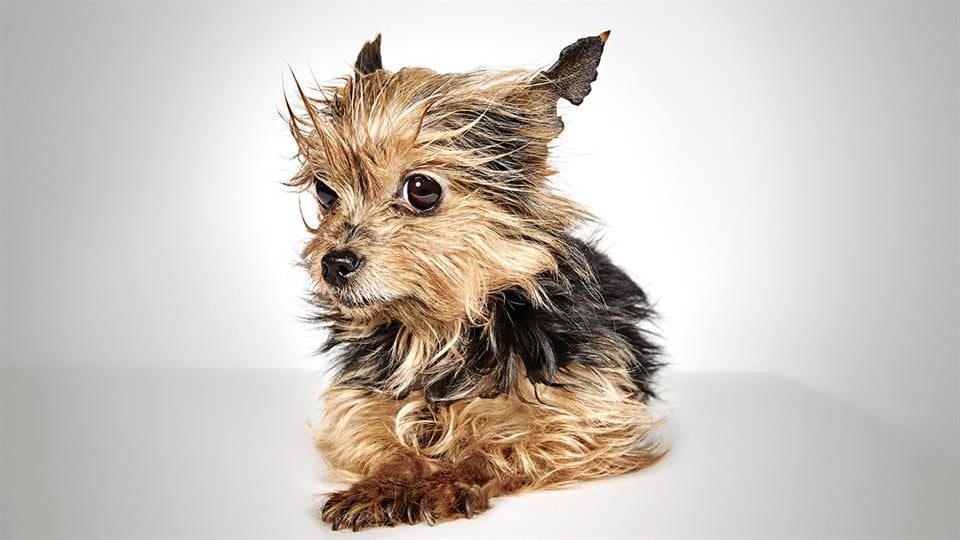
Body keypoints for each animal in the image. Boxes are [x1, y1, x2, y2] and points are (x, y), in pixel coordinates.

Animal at [282, 31, 664, 528]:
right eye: (325, 193)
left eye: (421, 190)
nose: (334, 263)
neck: (437, 333)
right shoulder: (360, 407)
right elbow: (384, 441)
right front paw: (384, 484)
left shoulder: (589, 419)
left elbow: (501, 446)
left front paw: (445, 481)